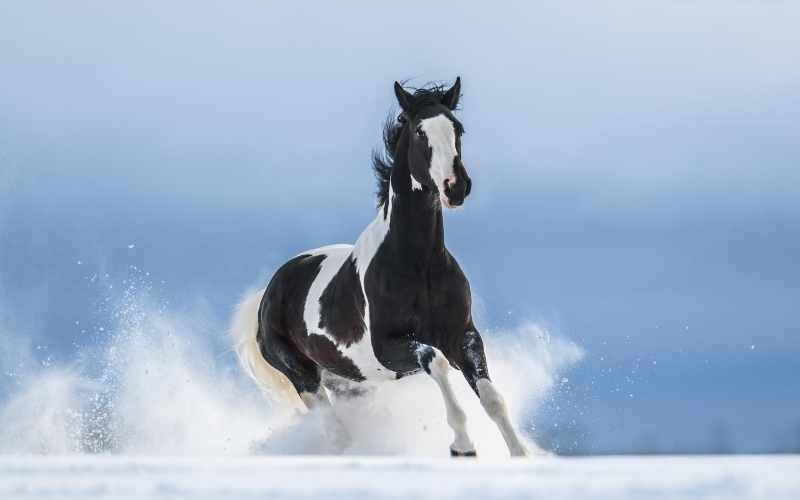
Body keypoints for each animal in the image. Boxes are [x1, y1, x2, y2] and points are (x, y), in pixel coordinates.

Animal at [231, 78, 528, 458]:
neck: (419, 264)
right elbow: (436, 361)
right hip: (305, 378)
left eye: (458, 128)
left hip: (352, 383)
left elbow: (492, 399)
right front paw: (462, 446)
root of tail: (268, 293)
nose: (456, 187)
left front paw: (521, 455)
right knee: (335, 431)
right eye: (419, 131)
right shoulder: (389, 348)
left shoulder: (463, 335)